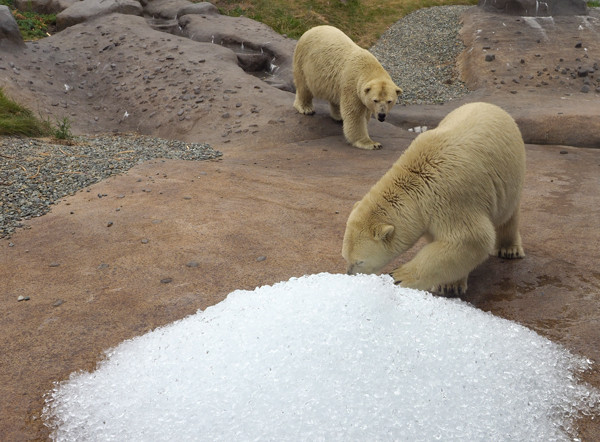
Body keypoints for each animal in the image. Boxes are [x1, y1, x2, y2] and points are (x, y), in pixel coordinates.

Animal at [342, 103, 524, 296]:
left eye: (359, 261)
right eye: (345, 257)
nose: (350, 274)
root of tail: (492, 106)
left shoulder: (451, 199)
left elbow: (471, 238)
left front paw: (400, 276)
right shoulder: (428, 212)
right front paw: (449, 283)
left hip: (510, 175)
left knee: (508, 214)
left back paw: (509, 249)